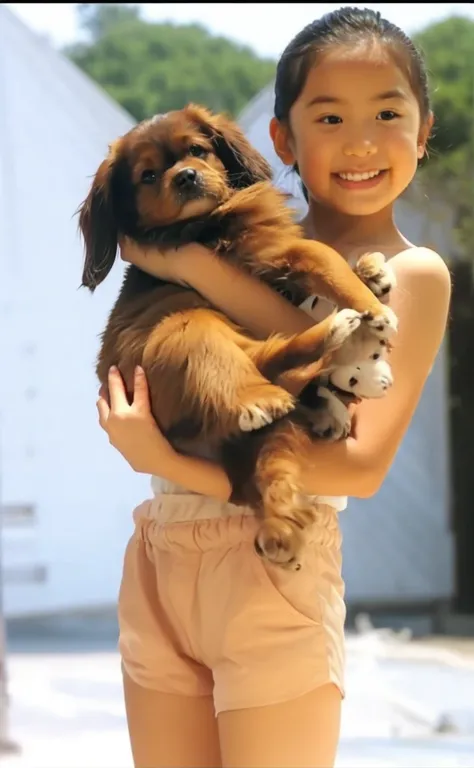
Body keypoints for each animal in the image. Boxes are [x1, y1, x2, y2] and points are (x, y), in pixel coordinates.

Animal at [78, 105, 396, 568]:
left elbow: (330, 269)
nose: (185, 177)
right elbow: (325, 257)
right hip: (188, 324)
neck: (205, 220)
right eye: (148, 176)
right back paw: (300, 369)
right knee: (260, 361)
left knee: (273, 363)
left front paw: (372, 272)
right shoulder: (271, 253)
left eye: (197, 150)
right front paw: (373, 308)